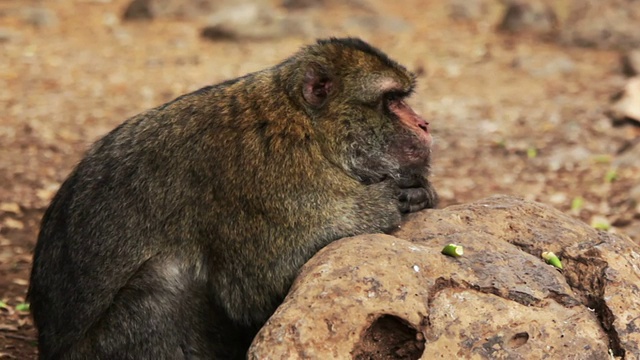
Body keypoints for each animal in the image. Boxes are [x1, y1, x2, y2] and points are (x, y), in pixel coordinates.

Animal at [28, 38, 440, 358]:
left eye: (402, 98)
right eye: (391, 100)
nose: (423, 124)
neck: (309, 129)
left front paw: (418, 192)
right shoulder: (266, 177)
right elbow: (255, 288)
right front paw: (381, 205)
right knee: (165, 279)